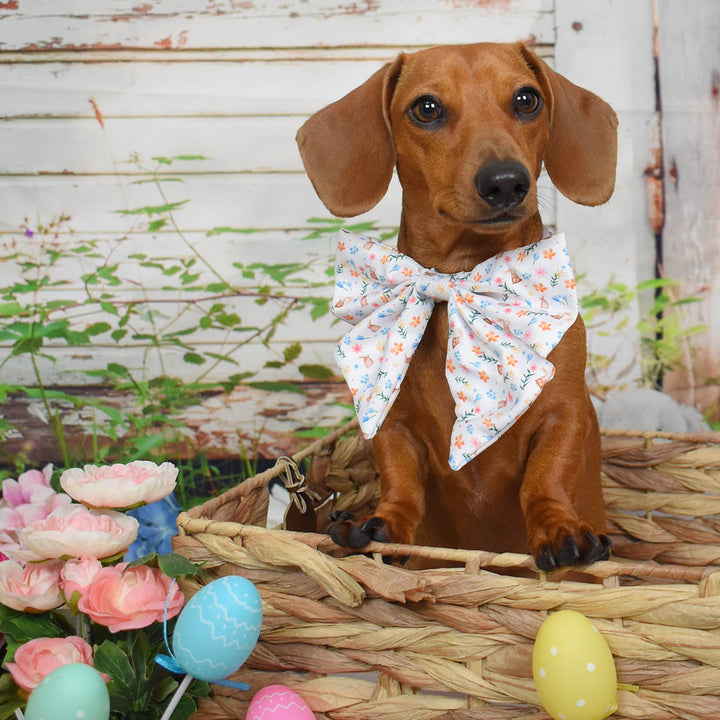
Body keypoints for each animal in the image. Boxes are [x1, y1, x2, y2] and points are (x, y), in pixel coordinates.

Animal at [296, 43, 616, 572]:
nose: (506, 182)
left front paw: (559, 527)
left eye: (527, 99)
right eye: (426, 108)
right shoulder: (394, 423)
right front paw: (384, 524)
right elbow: (401, 480)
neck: (458, 280)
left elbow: (546, 476)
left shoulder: (564, 414)